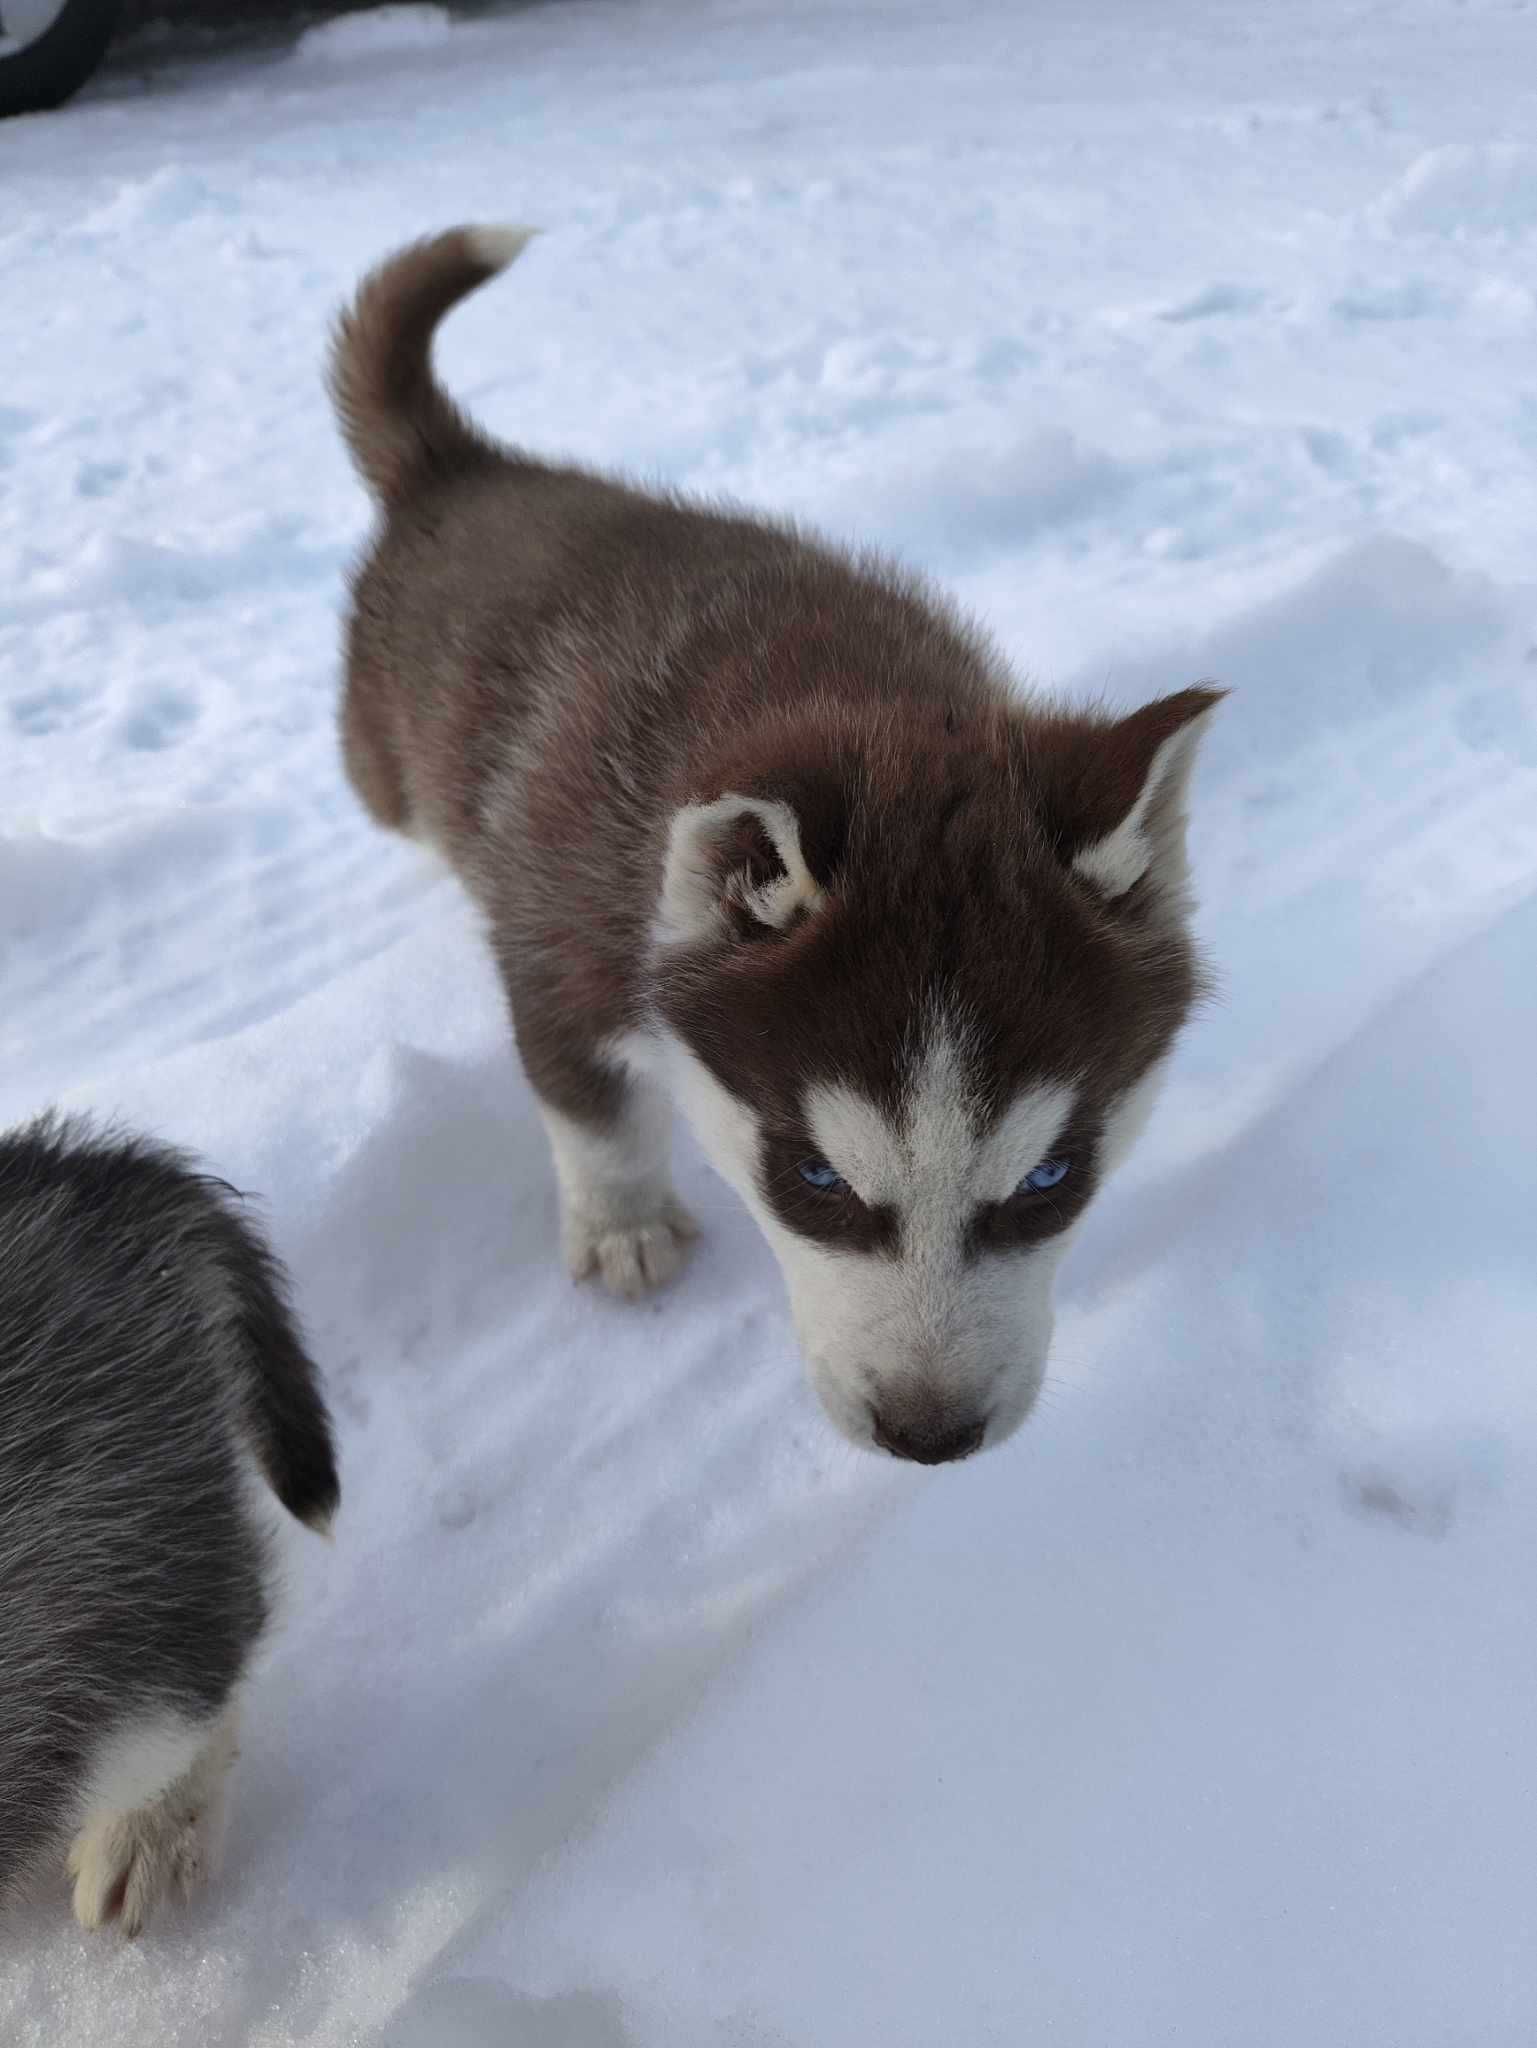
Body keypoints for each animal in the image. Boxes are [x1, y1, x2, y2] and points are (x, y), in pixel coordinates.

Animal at [331, 232, 1221, 1466]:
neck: (842, 692)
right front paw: (624, 1226)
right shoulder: (559, 942)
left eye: (1050, 1175)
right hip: (381, 763)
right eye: (814, 1176)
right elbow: (593, 1113)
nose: (929, 1435)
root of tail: (464, 465)